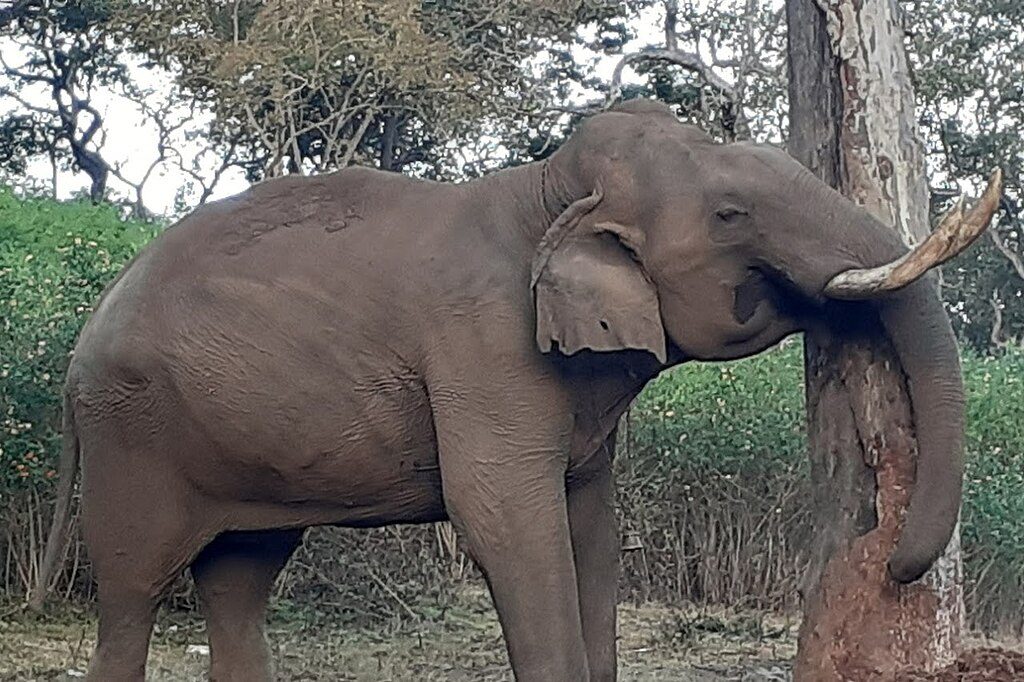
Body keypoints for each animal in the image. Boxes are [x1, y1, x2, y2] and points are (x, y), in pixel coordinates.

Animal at [32, 98, 1000, 681]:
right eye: (731, 215)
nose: (895, 563)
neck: (546, 189)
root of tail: (82, 338)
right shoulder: (485, 346)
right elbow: (505, 515)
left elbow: (590, 521)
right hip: (132, 434)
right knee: (135, 589)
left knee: (239, 577)